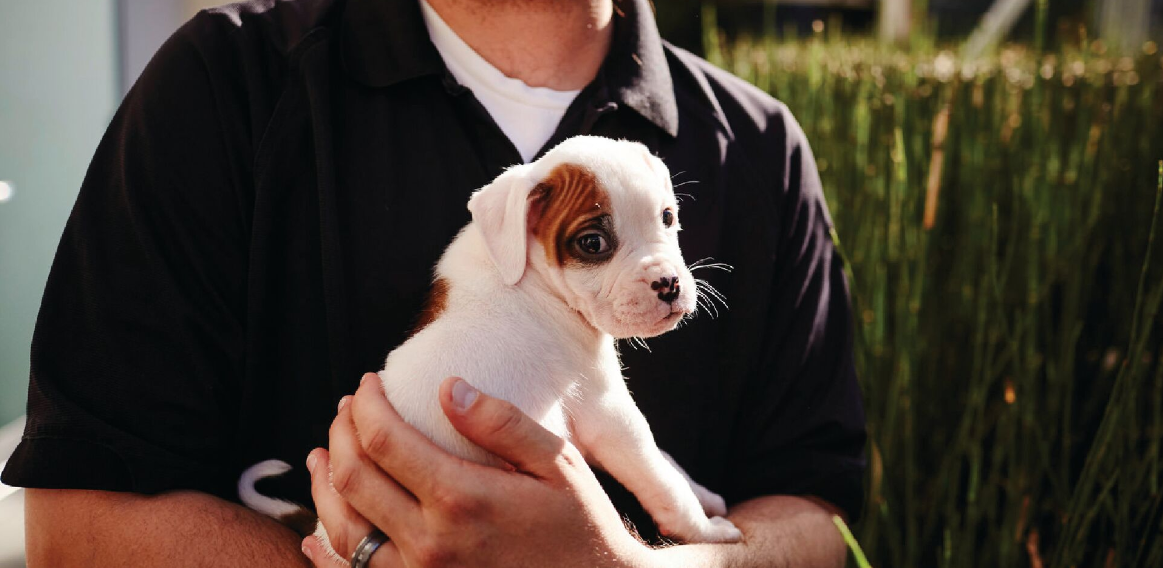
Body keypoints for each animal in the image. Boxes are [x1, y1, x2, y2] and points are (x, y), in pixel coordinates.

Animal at [239, 135, 739, 551]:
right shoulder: (608, 412)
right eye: (592, 243)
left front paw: (704, 493)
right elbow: (660, 479)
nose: (669, 283)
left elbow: (664, 460)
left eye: (667, 217)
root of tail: (322, 533)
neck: (527, 271)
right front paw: (708, 529)